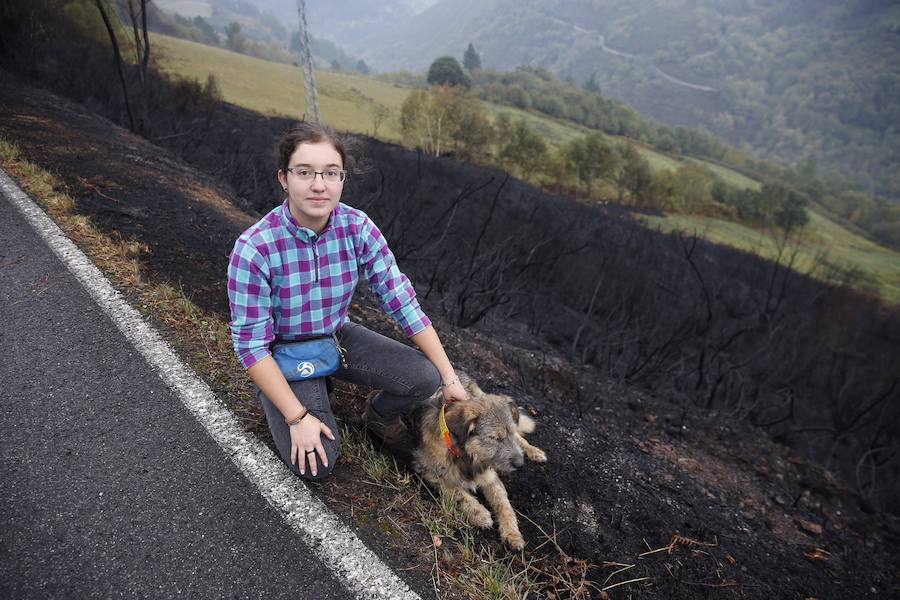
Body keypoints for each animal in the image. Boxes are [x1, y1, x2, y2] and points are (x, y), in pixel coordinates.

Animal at [410, 372, 548, 552]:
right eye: (495, 438)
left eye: (508, 434)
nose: (519, 464)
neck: (466, 455)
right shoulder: (428, 470)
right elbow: (458, 493)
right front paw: (479, 513)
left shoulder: (490, 477)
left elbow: (505, 505)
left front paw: (512, 534)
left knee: (521, 437)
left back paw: (534, 452)